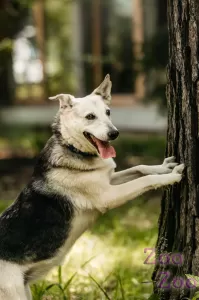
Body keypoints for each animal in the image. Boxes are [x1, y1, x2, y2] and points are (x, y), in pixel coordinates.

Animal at [0, 74, 184, 298]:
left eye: (108, 112)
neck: (72, 148)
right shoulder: (108, 196)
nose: (114, 133)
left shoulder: (109, 181)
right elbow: (144, 180)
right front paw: (171, 177)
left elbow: (140, 169)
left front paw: (163, 168)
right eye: (90, 117)